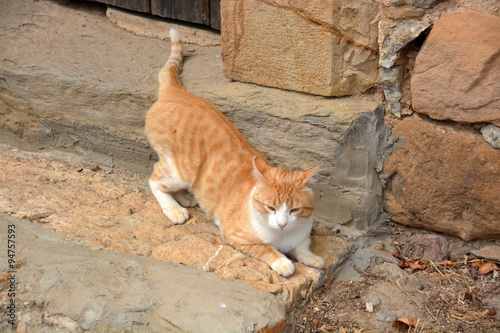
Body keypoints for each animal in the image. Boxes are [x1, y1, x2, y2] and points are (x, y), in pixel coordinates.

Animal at [146, 28, 324, 276]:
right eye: (270, 208)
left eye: (295, 210)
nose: (281, 223)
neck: (282, 235)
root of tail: (176, 91)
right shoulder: (235, 235)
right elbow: (266, 249)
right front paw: (283, 262)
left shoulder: (301, 235)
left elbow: (303, 247)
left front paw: (312, 258)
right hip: (182, 170)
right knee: (155, 179)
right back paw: (174, 209)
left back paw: (185, 199)